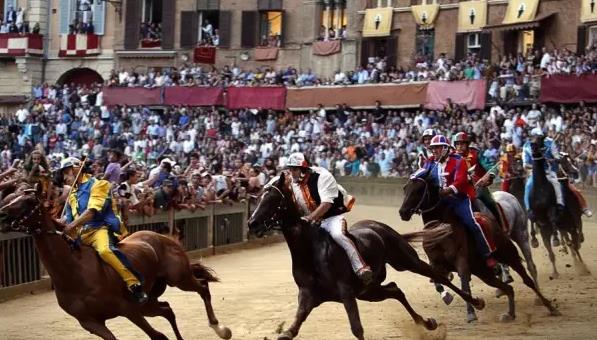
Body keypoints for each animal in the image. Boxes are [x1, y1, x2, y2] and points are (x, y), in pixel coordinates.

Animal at [0, 186, 232, 340]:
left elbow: (158, 336)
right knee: (167, 309)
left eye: (28, 201)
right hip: (149, 301)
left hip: (178, 278)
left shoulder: (127, 308)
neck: (74, 272)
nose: (1, 213)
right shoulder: (90, 322)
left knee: (203, 288)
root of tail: (164, 237)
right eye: (10, 196)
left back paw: (220, 328)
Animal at [247, 174, 484, 340]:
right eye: (258, 197)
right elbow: (292, 330)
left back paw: (475, 303)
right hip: (369, 291)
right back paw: (427, 323)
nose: (252, 223)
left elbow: (357, 328)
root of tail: (379, 226)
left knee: (438, 276)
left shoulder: (346, 291)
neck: (310, 252)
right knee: (395, 290)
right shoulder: (308, 295)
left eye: (273, 198)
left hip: (406, 260)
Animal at [396, 171, 560, 322]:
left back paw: (547, 304)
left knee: (528, 275)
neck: (441, 229)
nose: (403, 212)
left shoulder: (461, 261)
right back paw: (509, 309)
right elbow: (439, 281)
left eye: (419, 190)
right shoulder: (436, 263)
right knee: (507, 285)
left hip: (515, 245)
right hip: (483, 270)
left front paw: (471, 312)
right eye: (405, 188)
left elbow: (464, 284)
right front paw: (447, 296)